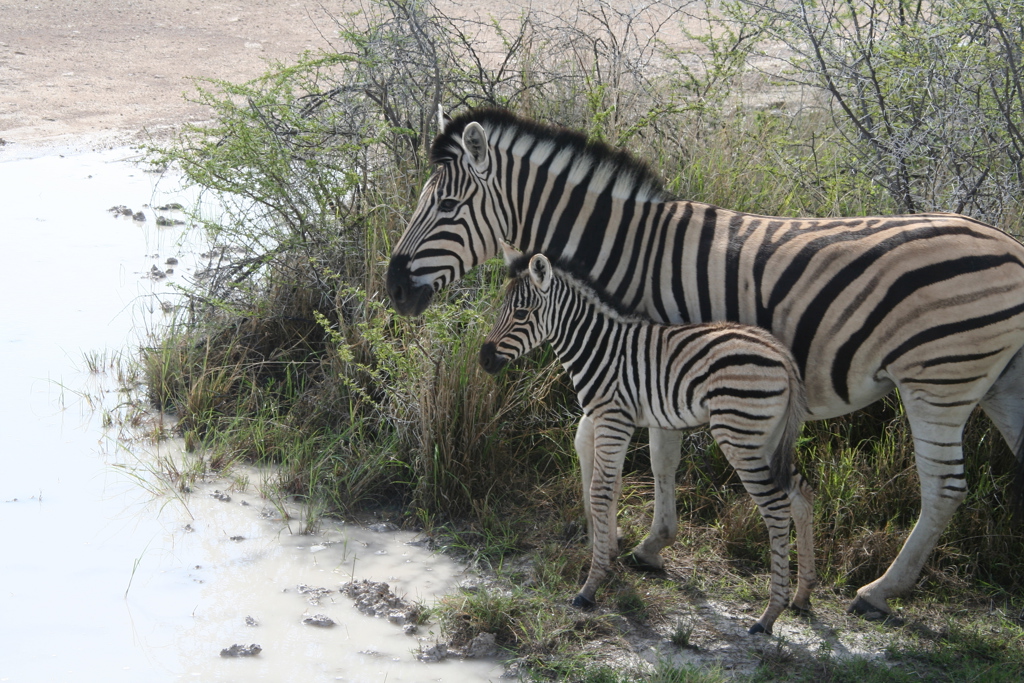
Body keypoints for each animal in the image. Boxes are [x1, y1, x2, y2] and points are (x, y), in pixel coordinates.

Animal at [480, 251, 815, 634]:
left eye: (522, 314)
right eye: (503, 308)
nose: (483, 360)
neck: (597, 347)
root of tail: (782, 354)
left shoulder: (613, 418)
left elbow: (600, 491)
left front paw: (591, 586)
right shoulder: (615, 420)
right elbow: (611, 486)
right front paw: (609, 553)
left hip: (740, 435)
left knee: (776, 506)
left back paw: (769, 615)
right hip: (768, 438)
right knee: (801, 494)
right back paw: (802, 595)